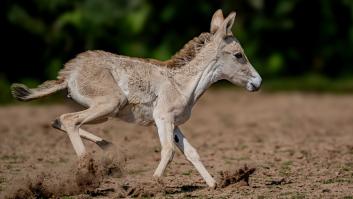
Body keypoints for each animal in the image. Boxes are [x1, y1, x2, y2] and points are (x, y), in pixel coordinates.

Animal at [11, 8, 262, 187]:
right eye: (239, 55)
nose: (258, 82)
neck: (181, 84)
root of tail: (69, 72)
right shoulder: (163, 118)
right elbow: (169, 151)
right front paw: (153, 183)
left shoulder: (174, 123)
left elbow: (191, 152)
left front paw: (214, 184)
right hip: (110, 105)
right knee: (70, 120)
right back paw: (89, 171)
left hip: (103, 112)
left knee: (59, 120)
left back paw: (108, 153)